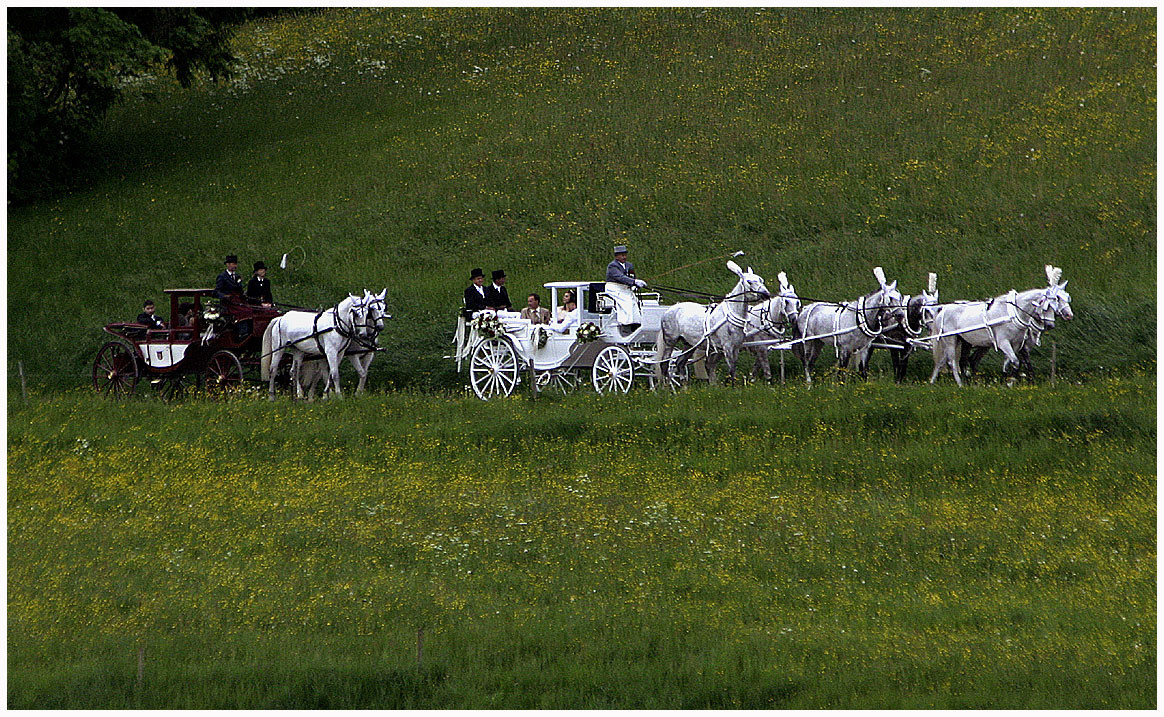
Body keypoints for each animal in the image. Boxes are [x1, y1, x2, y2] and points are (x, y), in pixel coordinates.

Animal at [926, 264, 1070, 386]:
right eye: (1048, 305)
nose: (1051, 325)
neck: (1012, 314)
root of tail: (942, 309)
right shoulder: (1005, 343)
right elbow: (1017, 361)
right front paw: (1011, 381)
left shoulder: (1017, 344)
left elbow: (1016, 362)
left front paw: (1011, 381)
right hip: (950, 339)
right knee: (951, 361)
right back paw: (960, 383)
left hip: (968, 342)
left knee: (956, 361)